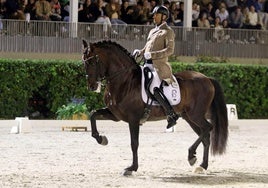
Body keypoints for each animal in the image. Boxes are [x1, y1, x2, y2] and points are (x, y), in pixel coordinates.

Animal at [82, 40, 228, 176]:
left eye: (92, 62)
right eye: (84, 63)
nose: (92, 86)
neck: (124, 80)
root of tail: (207, 78)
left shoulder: (133, 119)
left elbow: (134, 143)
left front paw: (131, 168)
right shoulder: (115, 115)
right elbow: (93, 114)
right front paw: (101, 139)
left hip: (195, 115)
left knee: (208, 128)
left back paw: (191, 155)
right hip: (189, 117)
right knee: (205, 136)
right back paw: (202, 165)